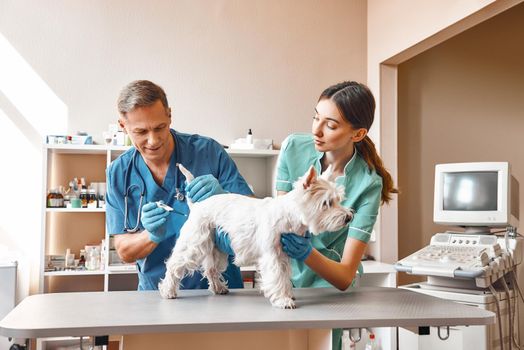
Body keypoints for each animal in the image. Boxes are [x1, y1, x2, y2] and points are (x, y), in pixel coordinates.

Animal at [158, 164, 350, 308]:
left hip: (217, 248)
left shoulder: (283, 255)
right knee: (174, 265)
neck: (290, 215)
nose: (348, 217)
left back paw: (219, 288)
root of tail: (197, 205)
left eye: (338, 200)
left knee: (211, 269)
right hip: (195, 244)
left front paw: (288, 294)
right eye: (326, 203)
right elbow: (277, 276)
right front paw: (283, 300)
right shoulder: (272, 255)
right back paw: (168, 291)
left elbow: (284, 276)